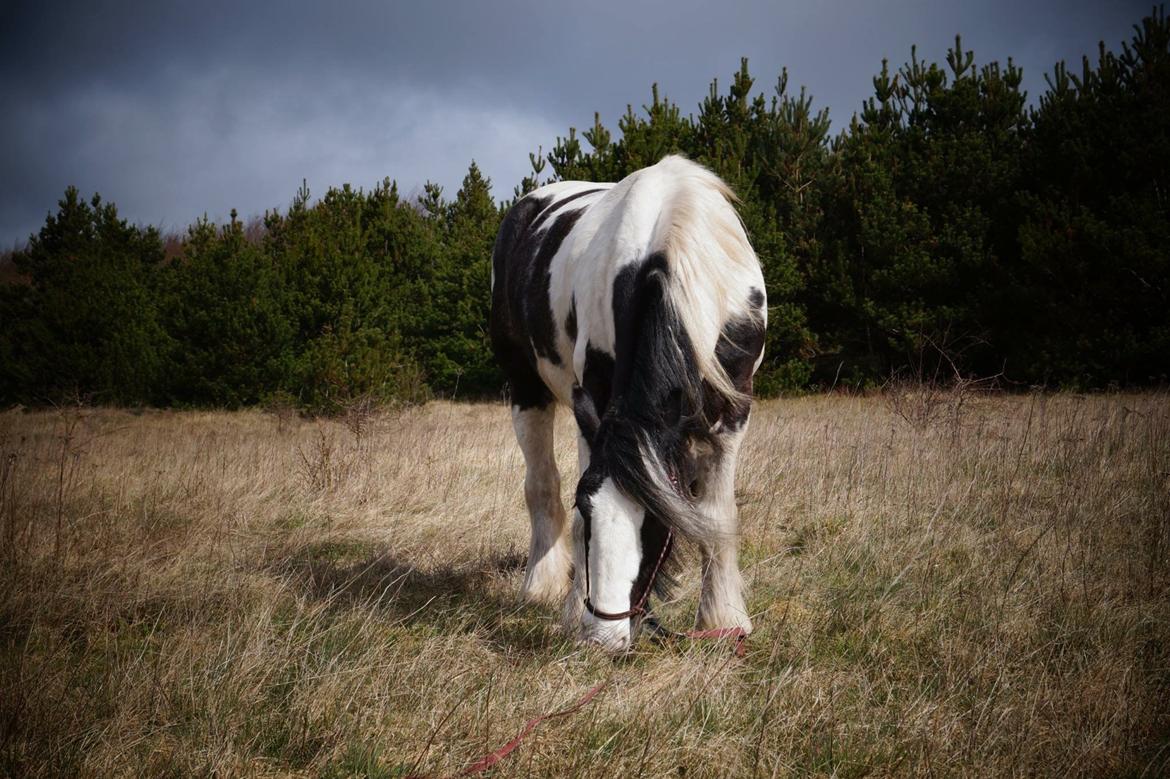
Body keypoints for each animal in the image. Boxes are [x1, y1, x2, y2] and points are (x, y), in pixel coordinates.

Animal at [486, 156, 767, 650]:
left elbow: (717, 515)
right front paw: (572, 614)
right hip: (525, 388)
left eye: (653, 520)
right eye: (587, 508)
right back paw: (540, 583)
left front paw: (723, 617)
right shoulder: (594, 403)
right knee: (541, 483)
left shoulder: (733, 411)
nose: (605, 637)